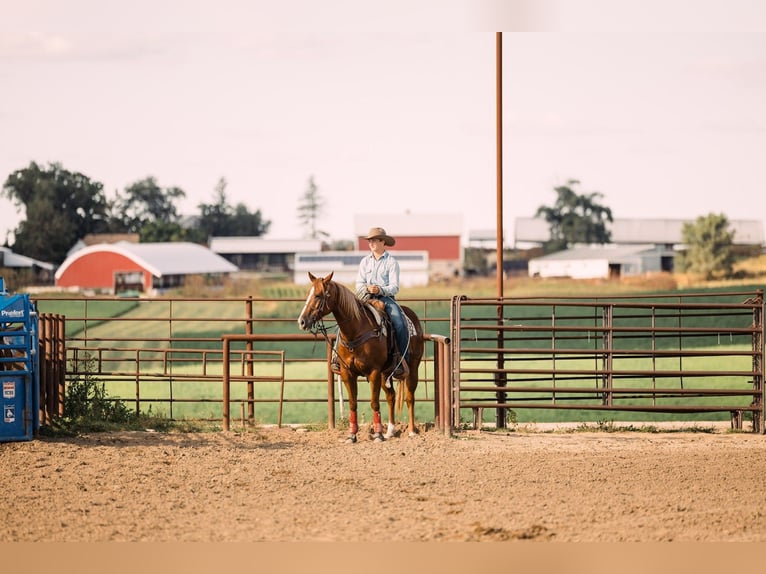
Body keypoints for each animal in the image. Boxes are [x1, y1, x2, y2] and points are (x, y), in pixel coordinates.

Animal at [297, 271, 424, 443]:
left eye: (318, 295)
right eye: (308, 294)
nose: (302, 321)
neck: (356, 331)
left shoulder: (374, 372)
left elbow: (374, 403)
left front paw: (377, 434)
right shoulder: (347, 373)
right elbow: (353, 403)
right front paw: (352, 435)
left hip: (412, 368)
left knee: (410, 397)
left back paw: (411, 431)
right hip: (386, 374)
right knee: (391, 396)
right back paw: (390, 431)